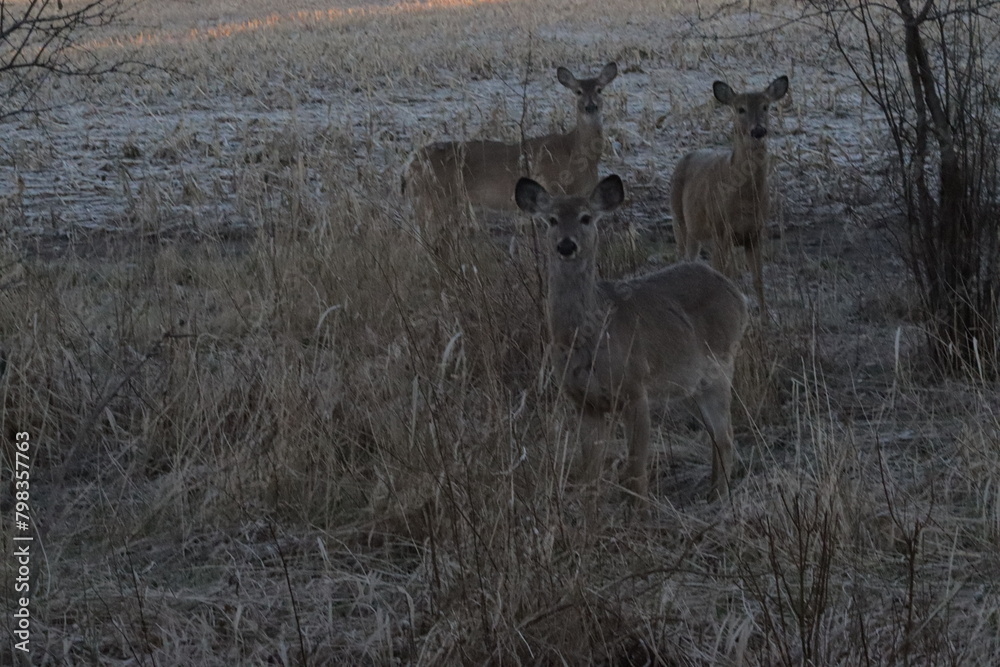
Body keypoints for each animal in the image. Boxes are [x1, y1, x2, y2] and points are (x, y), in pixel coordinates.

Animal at [403, 62, 618, 229]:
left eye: (599, 89)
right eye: (578, 92)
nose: (590, 106)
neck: (576, 151)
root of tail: (410, 165)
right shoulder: (553, 186)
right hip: (432, 199)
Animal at [515, 174, 748, 504]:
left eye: (586, 217)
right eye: (551, 220)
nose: (566, 245)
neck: (588, 337)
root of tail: (737, 295)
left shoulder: (635, 388)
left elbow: (636, 472)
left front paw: (641, 512)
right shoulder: (583, 401)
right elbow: (589, 473)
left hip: (720, 366)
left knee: (726, 436)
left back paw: (719, 497)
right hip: (689, 383)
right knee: (716, 436)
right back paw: (711, 492)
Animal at [670, 75, 789, 316]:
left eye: (766, 106)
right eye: (740, 109)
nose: (758, 130)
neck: (745, 199)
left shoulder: (756, 233)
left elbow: (758, 279)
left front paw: (765, 318)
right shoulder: (720, 230)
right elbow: (727, 275)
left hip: (697, 233)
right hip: (679, 219)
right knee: (684, 257)